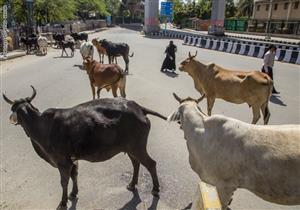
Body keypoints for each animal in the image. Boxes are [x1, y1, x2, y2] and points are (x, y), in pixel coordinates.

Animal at [2, 85, 166, 210]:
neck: (41, 126)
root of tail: (137, 107)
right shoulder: (72, 160)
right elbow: (74, 175)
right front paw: (73, 194)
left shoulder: (62, 162)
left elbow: (64, 181)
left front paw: (63, 203)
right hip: (131, 148)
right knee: (136, 163)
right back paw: (132, 184)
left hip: (138, 147)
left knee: (151, 164)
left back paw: (155, 190)